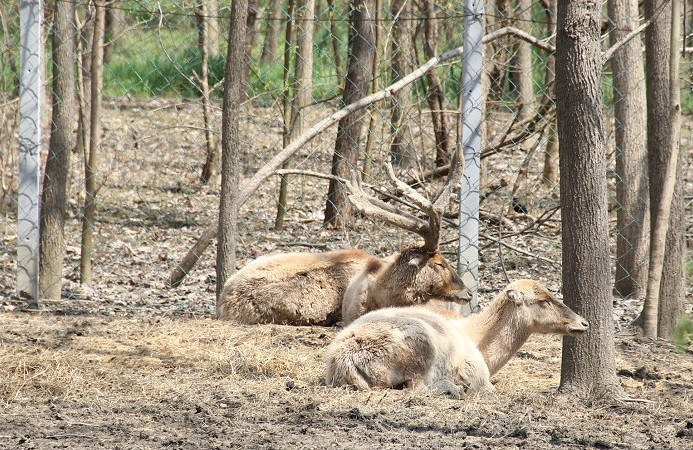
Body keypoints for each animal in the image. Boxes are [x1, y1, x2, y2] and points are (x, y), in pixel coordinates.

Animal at [324, 279, 589, 396]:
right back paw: (453, 387)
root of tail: (342, 361)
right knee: (417, 387)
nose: (583, 323)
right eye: (543, 300)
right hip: (420, 347)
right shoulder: (480, 375)